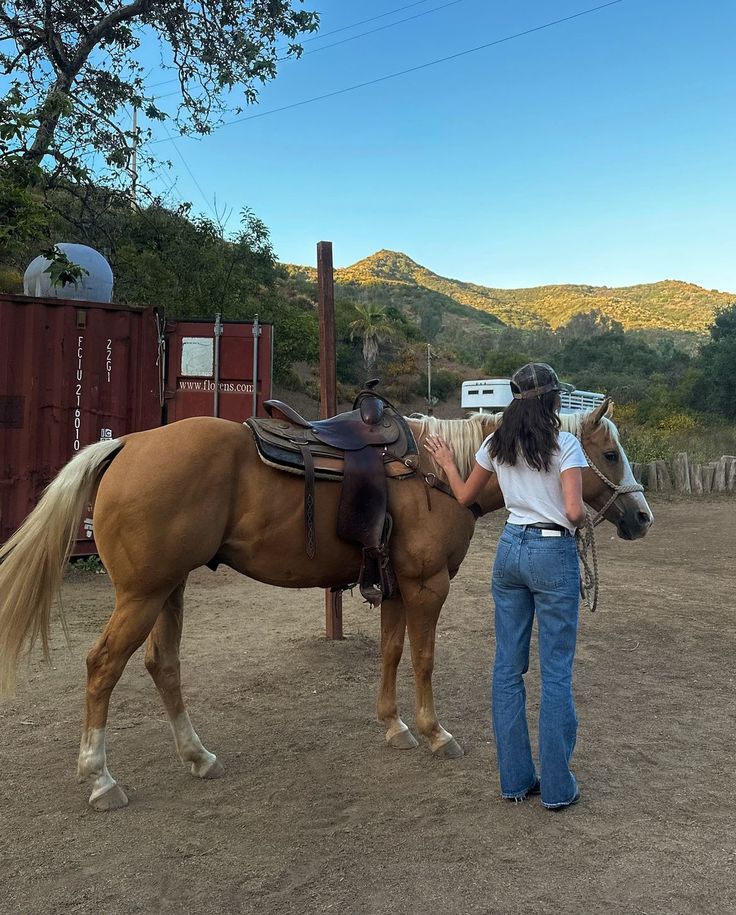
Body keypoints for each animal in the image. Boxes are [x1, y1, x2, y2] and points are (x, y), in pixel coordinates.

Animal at [0, 398, 652, 808]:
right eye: (610, 455)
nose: (642, 517)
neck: (439, 474)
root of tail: (128, 444)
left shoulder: (396, 588)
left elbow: (391, 653)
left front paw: (394, 727)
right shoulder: (427, 586)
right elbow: (422, 659)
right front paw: (435, 733)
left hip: (168, 589)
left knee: (163, 666)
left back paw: (198, 756)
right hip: (142, 595)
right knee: (102, 668)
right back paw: (100, 779)